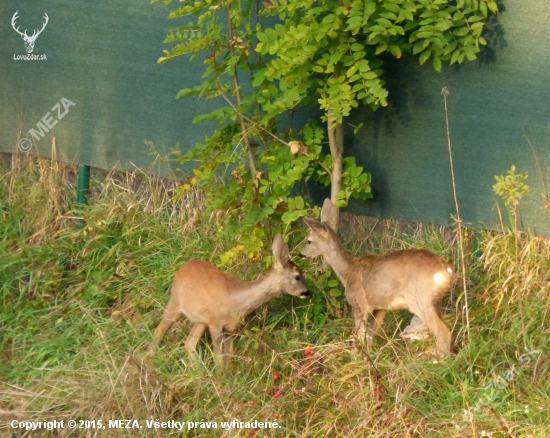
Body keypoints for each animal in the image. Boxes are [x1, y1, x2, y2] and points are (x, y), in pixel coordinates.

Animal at [155, 234, 310, 364]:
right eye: (297, 276)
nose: (307, 292)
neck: (237, 302)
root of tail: (182, 266)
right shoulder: (216, 324)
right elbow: (219, 356)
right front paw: (220, 376)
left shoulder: (230, 328)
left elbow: (229, 355)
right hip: (175, 301)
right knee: (159, 331)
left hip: (201, 320)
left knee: (189, 344)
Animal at [300, 200, 454, 358]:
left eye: (309, 241)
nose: (300, 254)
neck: (348, 271)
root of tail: (446, 270)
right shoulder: (381, 307)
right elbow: (370, 335)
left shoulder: (359, 304)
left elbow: (359, 336)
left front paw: (355, 358)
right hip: (435, 302)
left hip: (421, 300)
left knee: (444, 332)